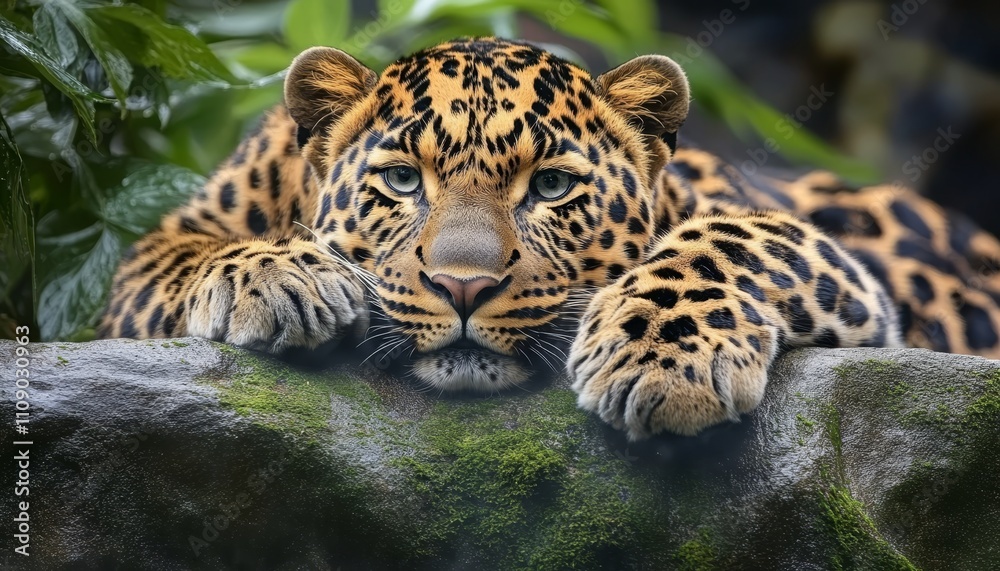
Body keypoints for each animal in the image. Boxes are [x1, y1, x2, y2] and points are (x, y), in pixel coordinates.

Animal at [99, 37, 1000, 440]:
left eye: (553, 187)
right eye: (403, 181)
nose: (463, 287)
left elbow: (736, 235)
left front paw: (661, 359)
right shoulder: (160, 249)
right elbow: (178, 260)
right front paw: (283, 275)